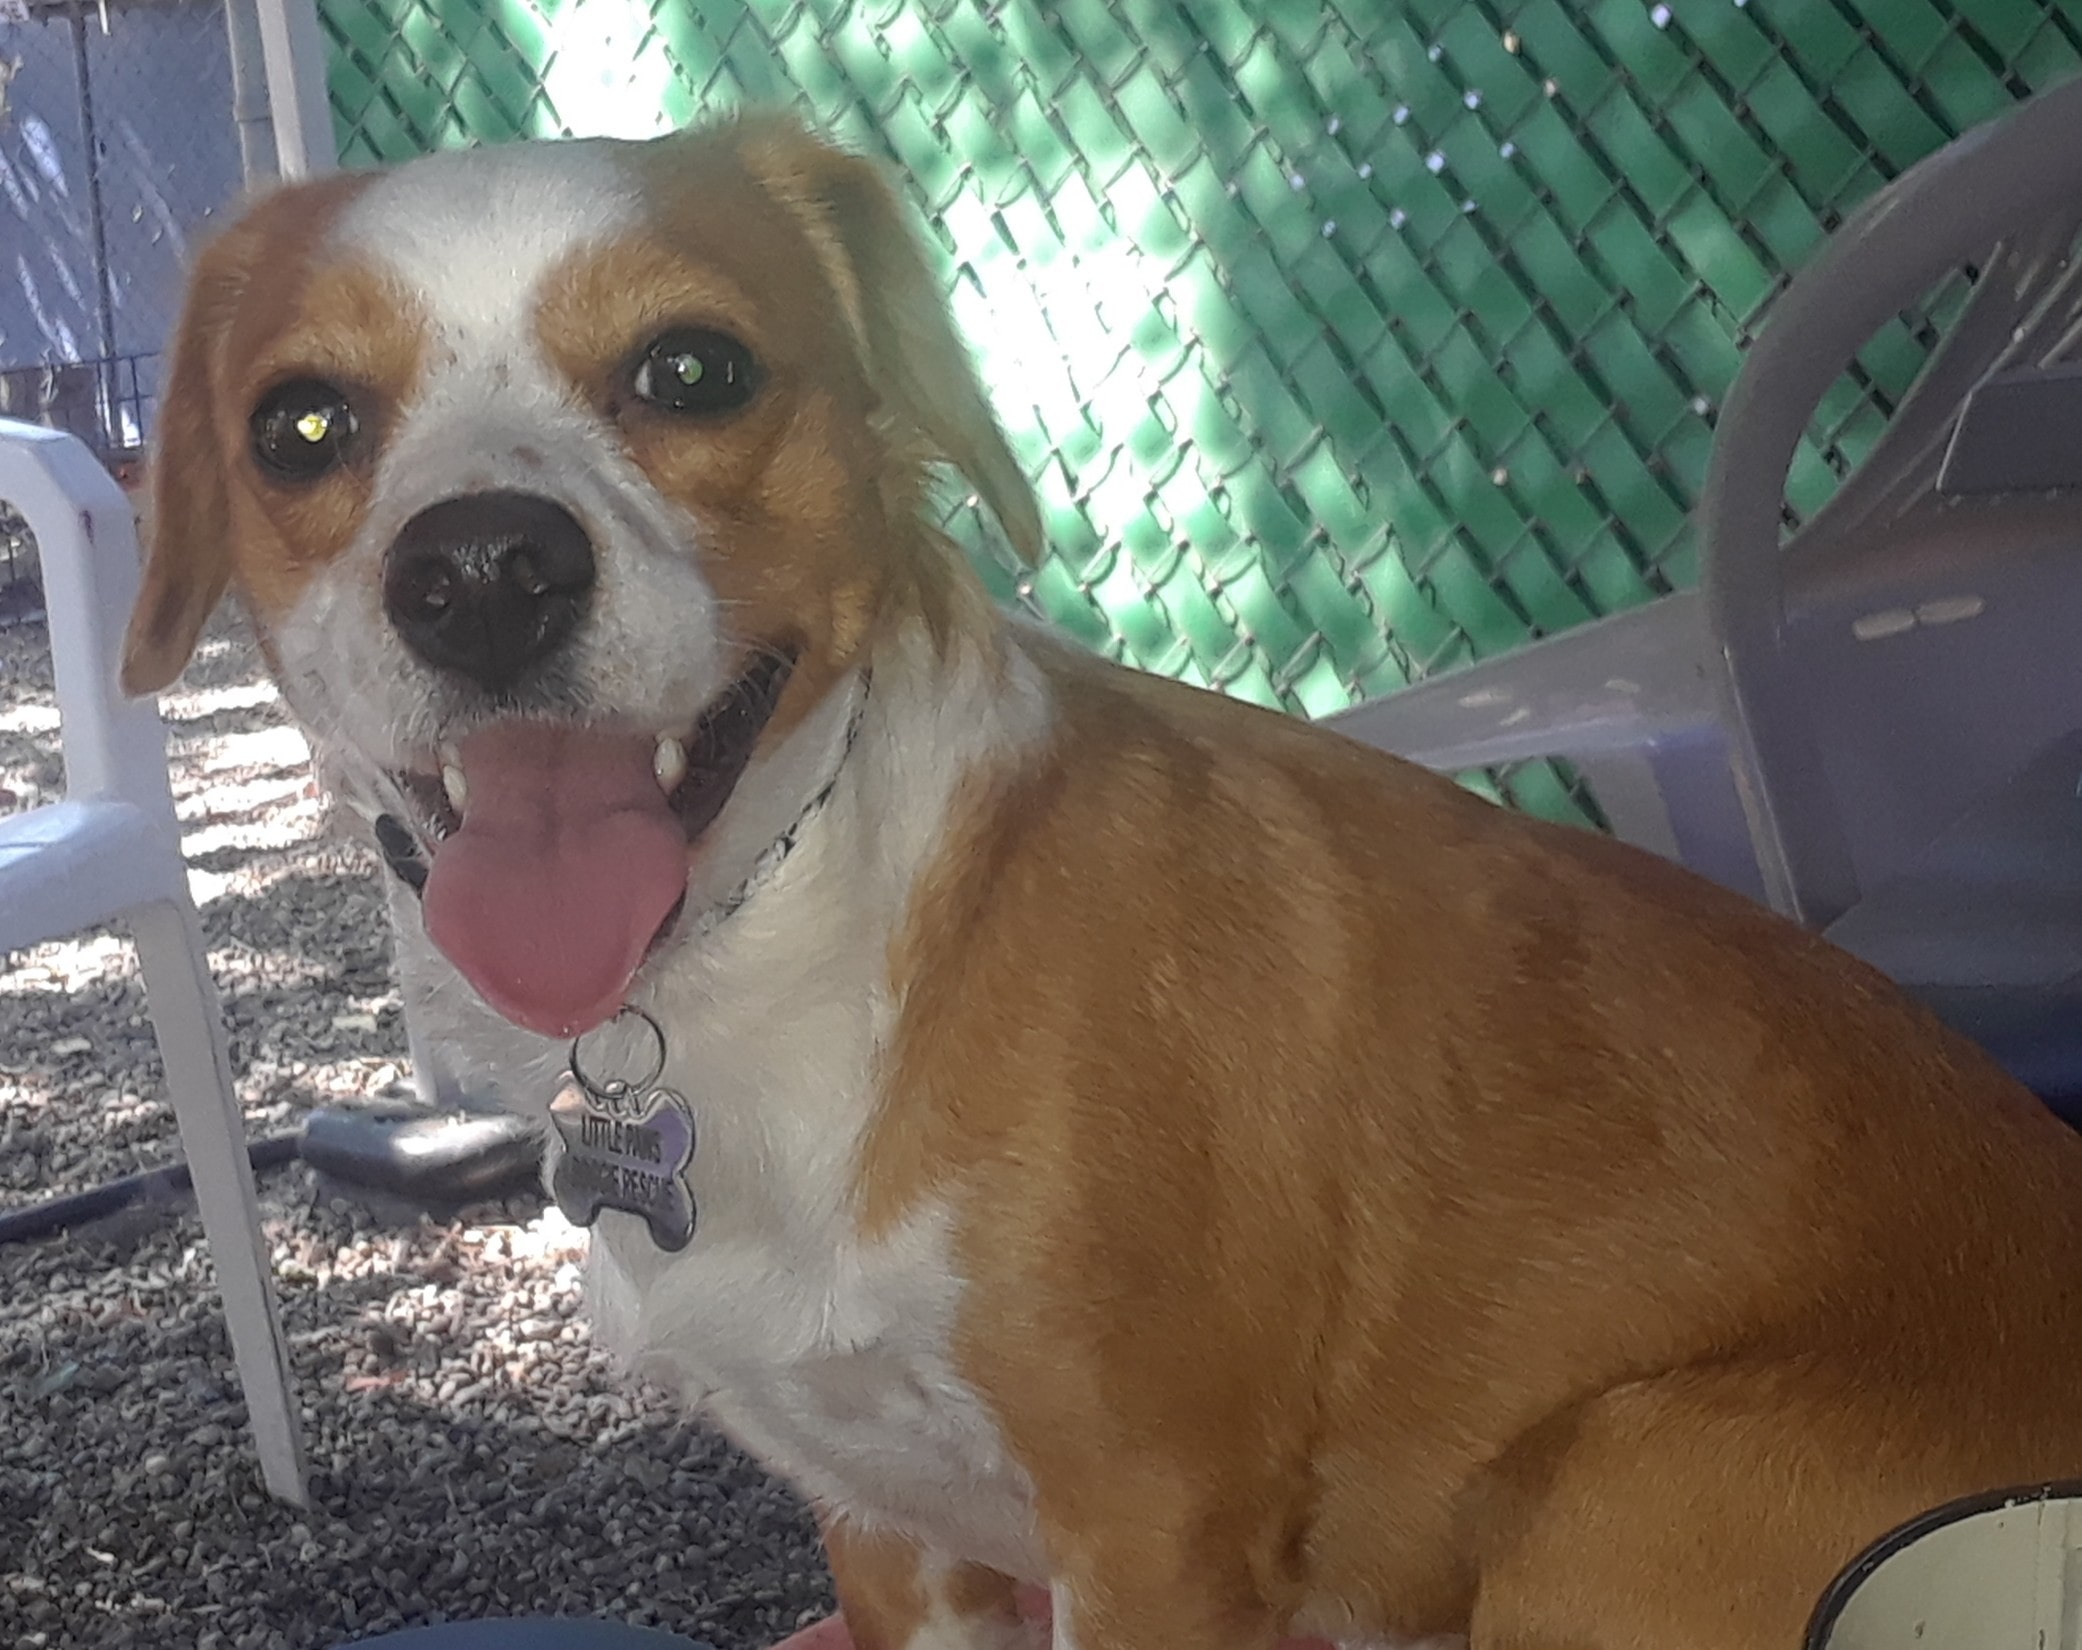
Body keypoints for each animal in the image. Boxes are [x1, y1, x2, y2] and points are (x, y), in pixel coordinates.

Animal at [118, 112, 2082, 1631]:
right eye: (300, 424)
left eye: (692, 368)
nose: (481, 571)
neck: (771, 973)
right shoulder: (888, 1530)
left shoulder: (1152, 1528)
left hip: (1621, 1475)